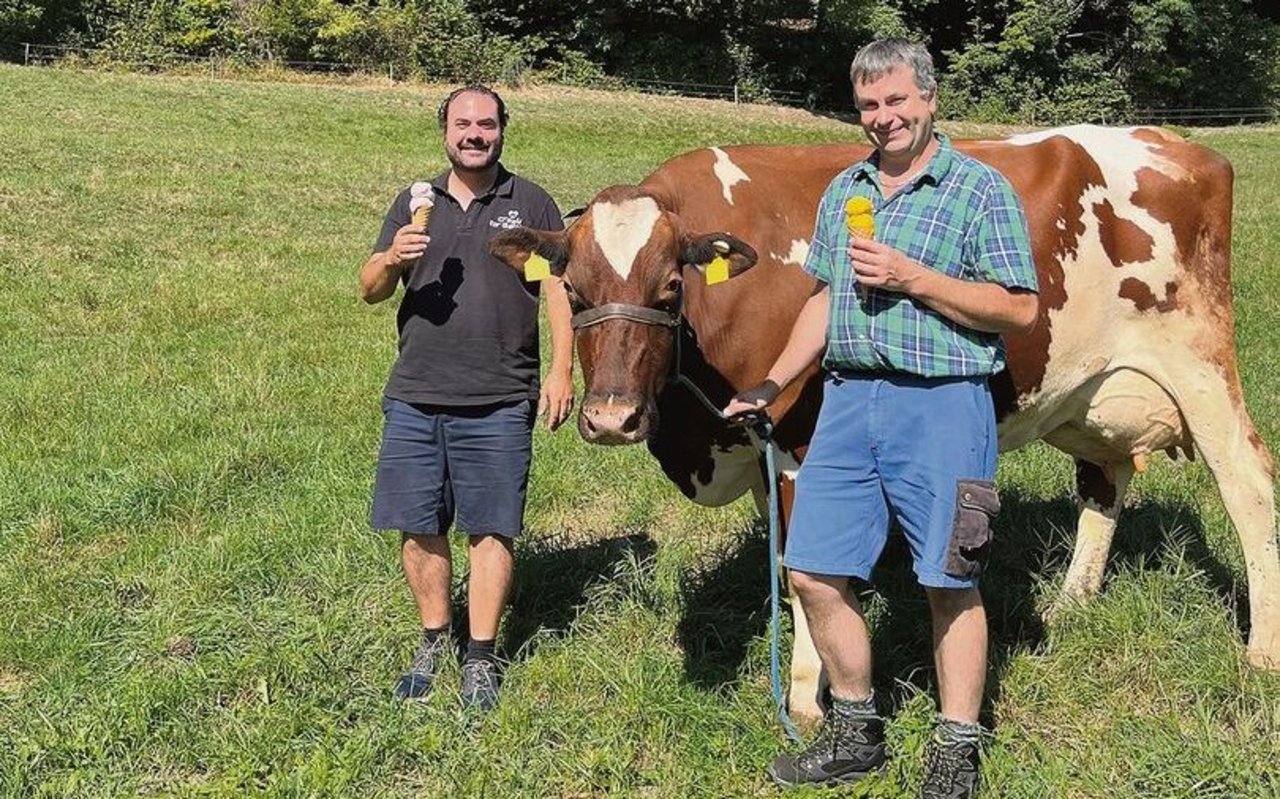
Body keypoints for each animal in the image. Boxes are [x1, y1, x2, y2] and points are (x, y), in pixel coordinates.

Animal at [491, 126, 1280, 722]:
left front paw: (807, 699)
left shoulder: (800, 442)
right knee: (1106, 478)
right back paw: (1071, 603)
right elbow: (787, 560)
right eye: (572, 290)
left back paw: (1262, 650)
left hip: (1200, 362)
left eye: (668, 288)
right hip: (1088, 389)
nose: (611, 417)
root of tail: (1177, 145)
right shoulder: (757, 441)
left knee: (1248, 484)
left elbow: (805, 566)